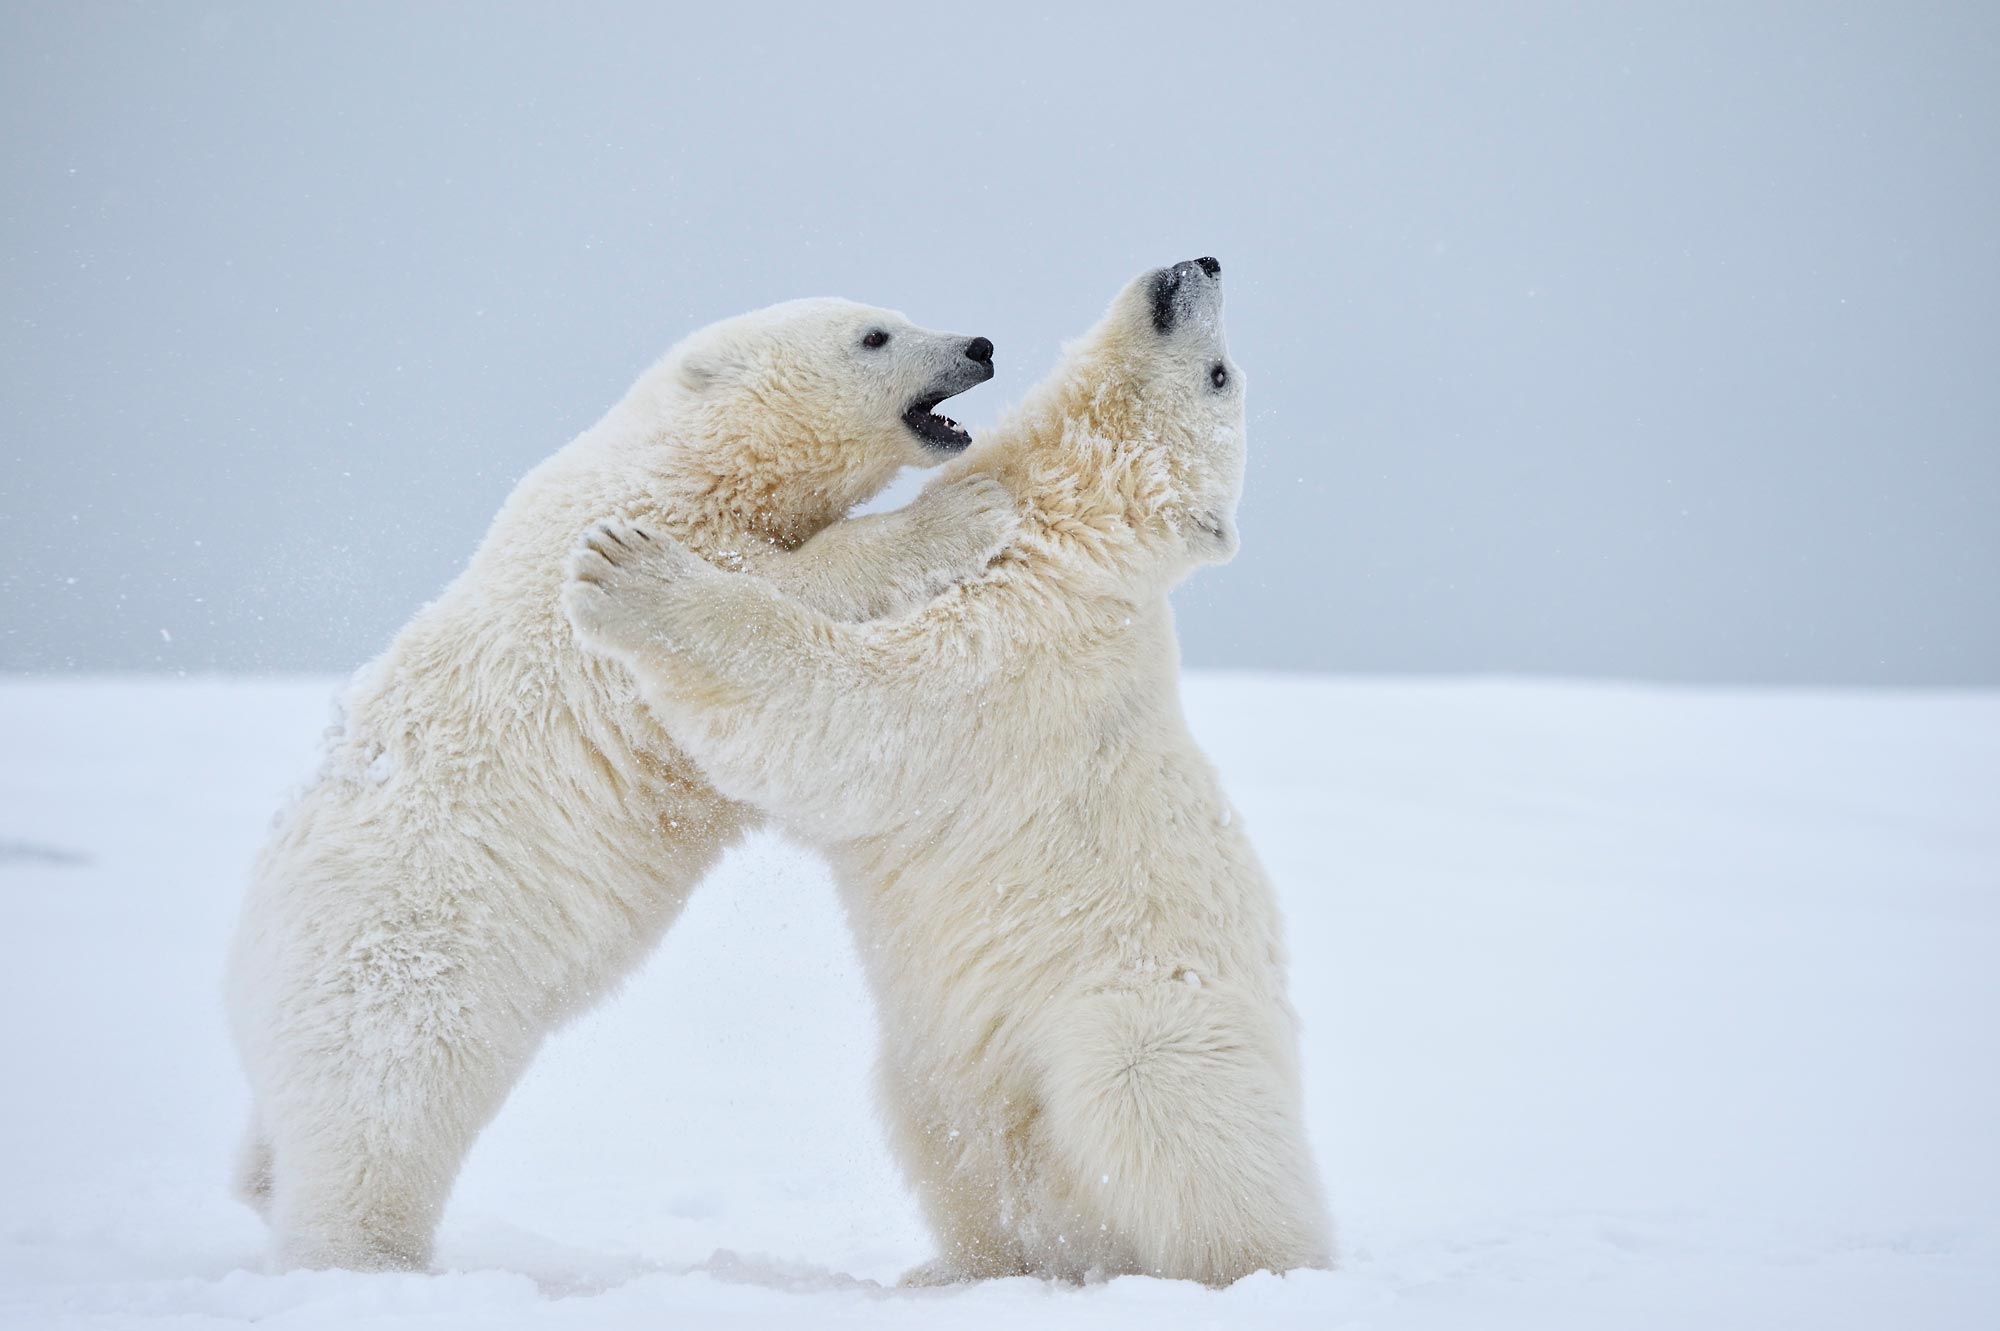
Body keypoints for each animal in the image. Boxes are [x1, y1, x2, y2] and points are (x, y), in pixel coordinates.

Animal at [223, 295, 1016, 1271]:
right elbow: (784, 587)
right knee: (381, 1110)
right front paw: (969, 508)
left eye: (895, 313)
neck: (684, 456)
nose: (978, 345)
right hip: (396, 962)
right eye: (874, 335)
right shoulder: (634, 546)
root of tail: (244, 976)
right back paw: (368, 1254)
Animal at [564, 259, 1336, 1287]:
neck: (1074, 529)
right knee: (945, 1132)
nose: (1202, 265)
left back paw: (1236, 1271)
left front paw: (632, 573)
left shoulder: (1014, 651)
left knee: (1167, 1119)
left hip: (1136, 1014)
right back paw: (961, 1267)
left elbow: (851, 717)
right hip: (938, 1061)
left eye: (1220, 375)